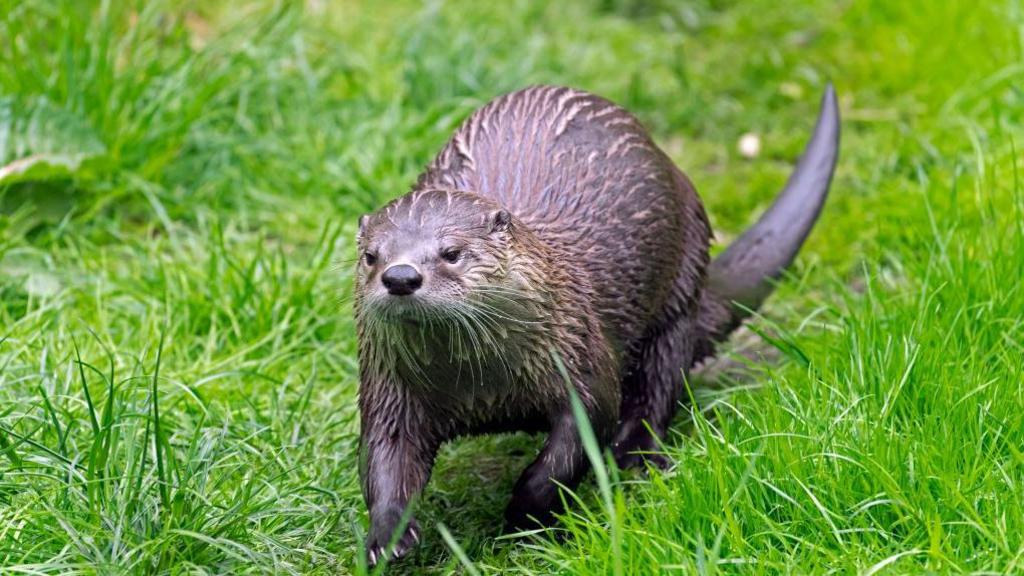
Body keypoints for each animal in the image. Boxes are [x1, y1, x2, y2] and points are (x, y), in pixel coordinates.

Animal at [356, 83, 835, 557]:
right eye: (371, 256)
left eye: (452, 252)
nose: (400, 276)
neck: (480, 385)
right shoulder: (389, 389)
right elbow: (384, 456)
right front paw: (388, 534)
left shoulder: (581, 355)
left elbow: (574, 444)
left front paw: (524, 513)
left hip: (680, 287)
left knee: (659, 383)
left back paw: (636, 458)